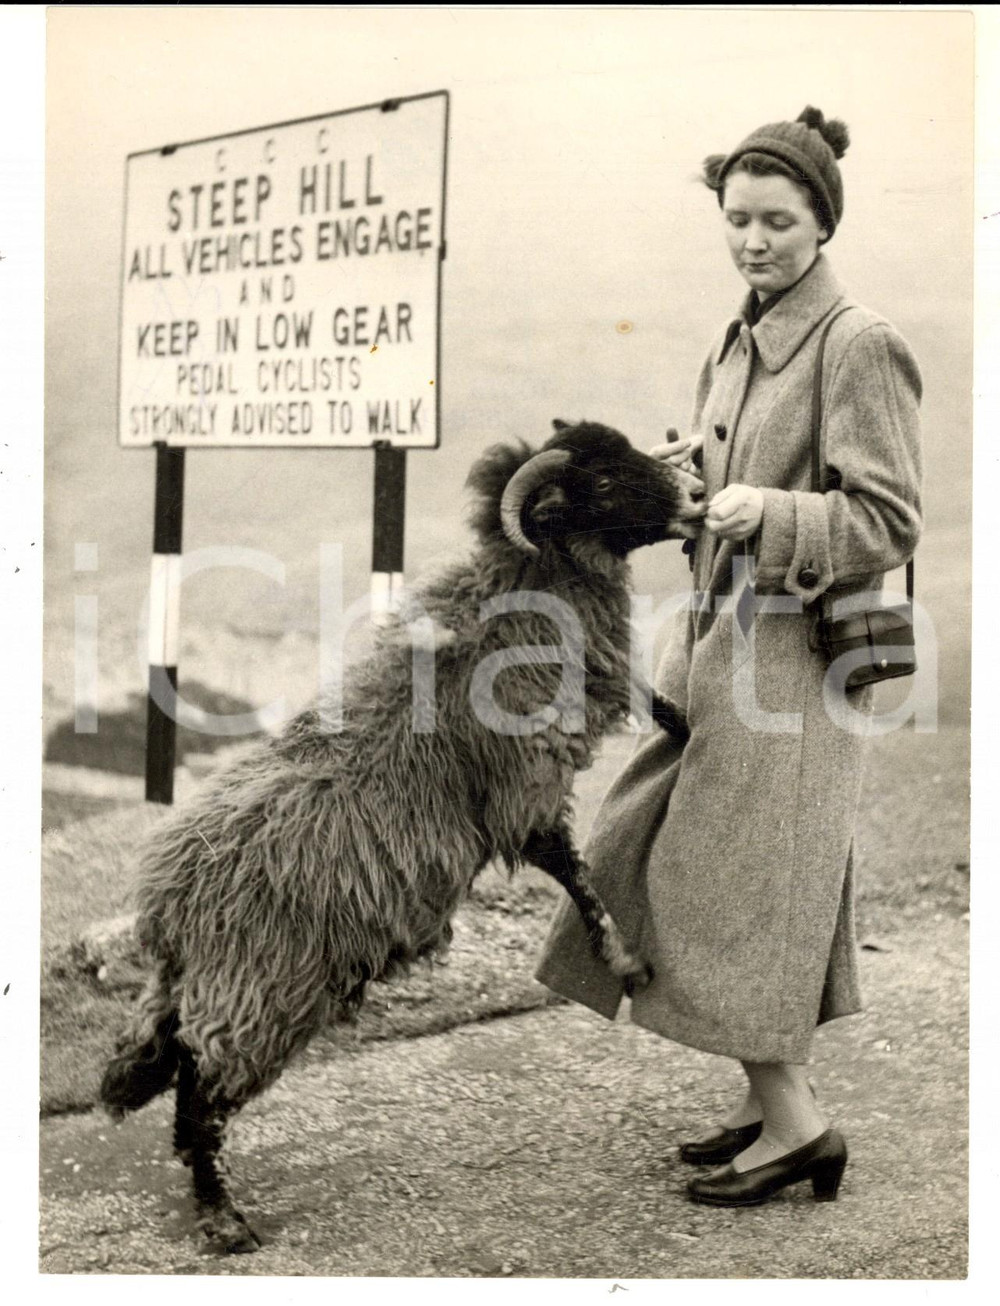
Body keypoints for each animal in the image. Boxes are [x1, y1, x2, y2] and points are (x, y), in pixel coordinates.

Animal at [99, 419, 705, 1253]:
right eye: (606, 482)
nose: (698, 494)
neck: (517, 602)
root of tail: (168, 898)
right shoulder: (520, 792)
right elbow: (572, 871)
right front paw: (624, 959)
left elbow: (650, 702)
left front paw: (691, 722)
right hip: (262, 985)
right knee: (200, 1088)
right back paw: (222, 1217)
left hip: (207, 982)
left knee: (166, 1048)